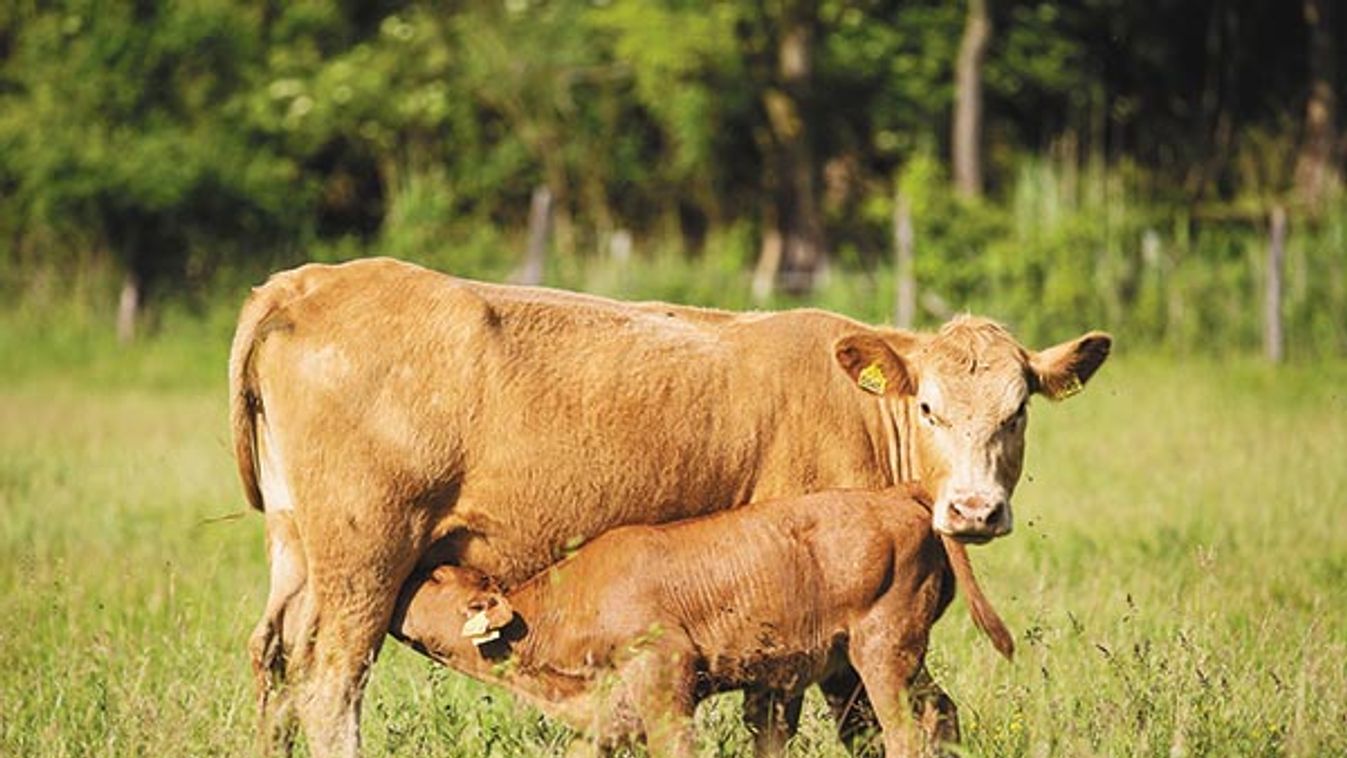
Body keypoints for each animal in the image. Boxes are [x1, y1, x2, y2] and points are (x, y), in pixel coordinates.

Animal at [390, 487, 1012, 758]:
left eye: (437, 577)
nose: (403, 577)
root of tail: (899, 493)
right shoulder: (605, 716)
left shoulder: (667, 678)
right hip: (889, 657)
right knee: (940, 710)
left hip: (882, 651)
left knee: (904, 731)